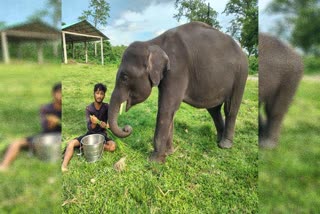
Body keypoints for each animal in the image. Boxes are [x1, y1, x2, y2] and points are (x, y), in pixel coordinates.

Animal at [109, 21, 248, 162]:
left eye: (124, 77)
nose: (127, 128)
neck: (153, 42)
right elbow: (171, 111)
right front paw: (169, 153)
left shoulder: (177, 70)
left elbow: (166, 109)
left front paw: (154, 160)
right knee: (214, 110)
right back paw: (219, 140)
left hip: (241, 74)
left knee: (230, 108)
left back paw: (225, 145)